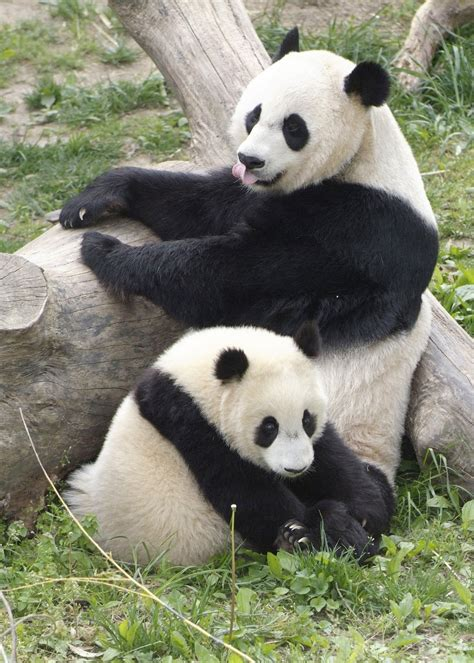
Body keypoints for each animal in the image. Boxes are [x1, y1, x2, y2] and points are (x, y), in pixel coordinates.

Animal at [59, 29, 438, 486]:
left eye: (293, 127)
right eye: (254, 114)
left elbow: (229, 276)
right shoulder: (263, 195)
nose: (249, 159)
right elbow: (201, 205)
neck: (362, 158)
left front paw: (108, 251)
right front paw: (95, 199)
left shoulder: (363, 231)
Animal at [64, 322, 394, 566]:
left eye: (307, 419)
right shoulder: (189, 420)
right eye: (268, 427)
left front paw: (364, 514)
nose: (295, 468)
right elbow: (245, 494)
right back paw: (295, 539)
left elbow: (332, 459)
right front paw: (334, 530)